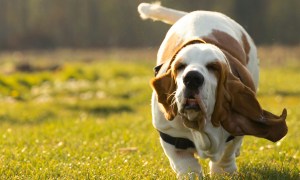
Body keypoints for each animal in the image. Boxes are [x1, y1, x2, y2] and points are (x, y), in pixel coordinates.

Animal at [137, 2, 288, 177]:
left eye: (213, 67)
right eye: (180, 66)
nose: (192, 78)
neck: (200, 124)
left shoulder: (233, 131)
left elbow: (226, 154)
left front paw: (224, 173)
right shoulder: (170, 135)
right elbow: (186, 165)